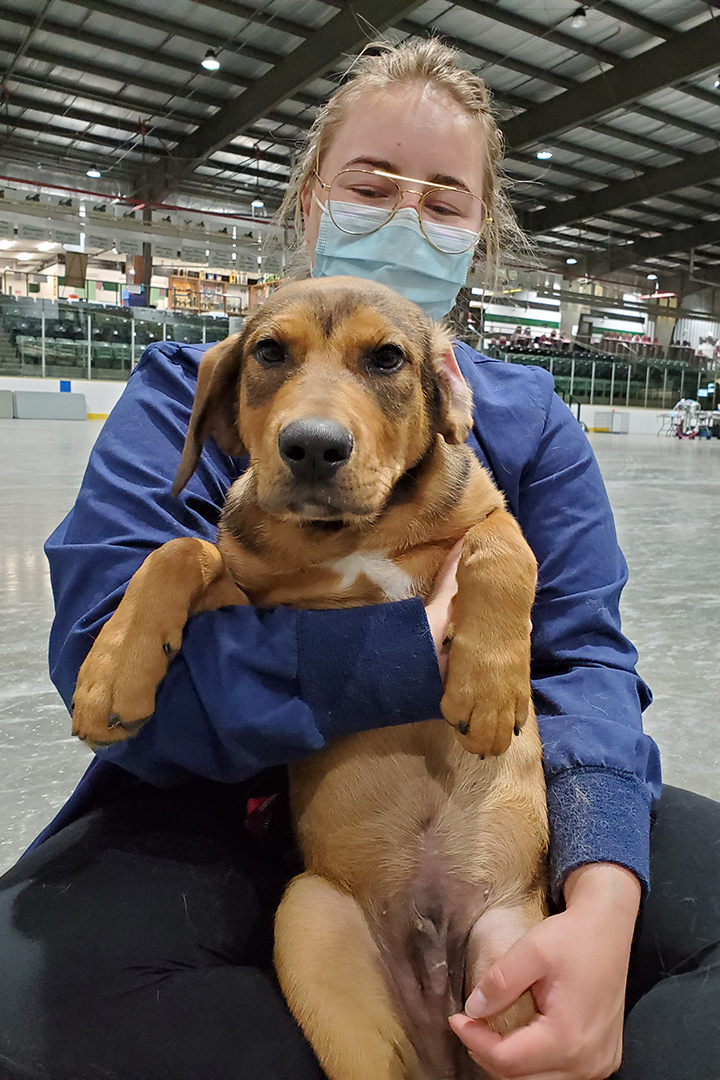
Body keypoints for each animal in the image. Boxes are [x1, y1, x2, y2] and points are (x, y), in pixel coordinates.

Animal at [71, 278, 546, 1080]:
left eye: (387, 359)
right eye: (269, 352)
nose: (313, 447)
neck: (357, 531)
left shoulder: (488, 509)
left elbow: (504, 550)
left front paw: (489, 688)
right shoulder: (250, 603)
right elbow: (182, 549)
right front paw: (112, 673)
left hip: (515, 953)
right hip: (313, 927)